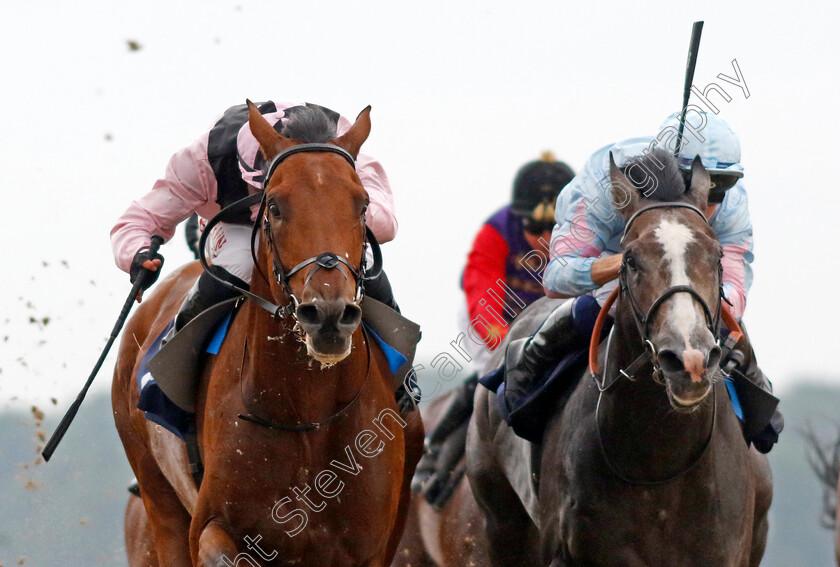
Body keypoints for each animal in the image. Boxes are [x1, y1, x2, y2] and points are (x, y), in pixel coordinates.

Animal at [111, 103, 424, 567]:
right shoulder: (211, 527)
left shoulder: (368, 546)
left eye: (363, 205)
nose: (327, 315)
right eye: (274, 206)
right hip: (158, 500)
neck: (308, 414)